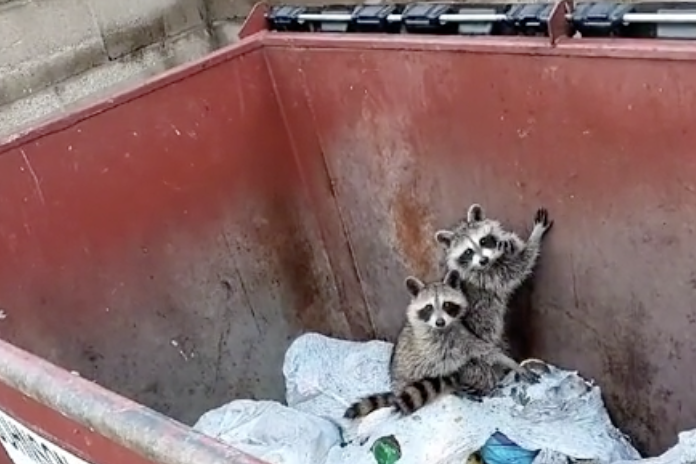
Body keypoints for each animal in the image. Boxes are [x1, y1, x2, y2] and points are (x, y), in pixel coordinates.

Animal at [343, 269, 539, 420]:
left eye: (447, 305)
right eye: (429, 307)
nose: (439, 322)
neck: (443, 330)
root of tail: (396, 389)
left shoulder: (462, 335)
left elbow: (486, 351)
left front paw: (511, 363)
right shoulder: (429, 348)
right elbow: (442, 368)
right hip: (404, 376)